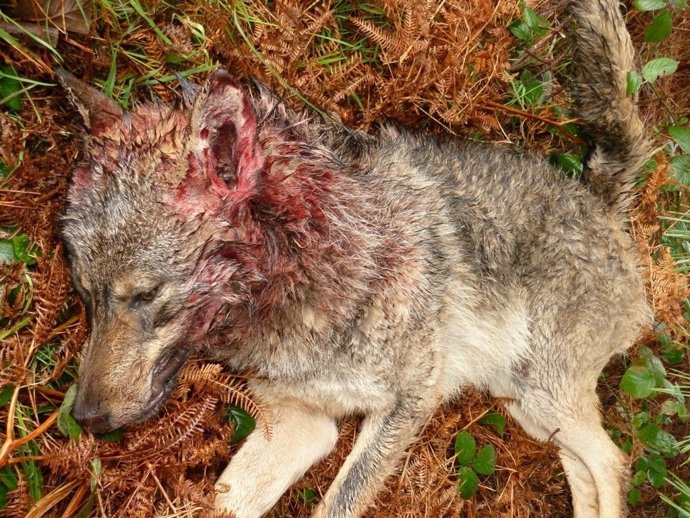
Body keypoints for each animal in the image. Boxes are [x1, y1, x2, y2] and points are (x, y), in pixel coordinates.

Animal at [59, 0, 650, 516]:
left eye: (145, 294)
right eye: (84, 294)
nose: (85, 418)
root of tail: (599, 200)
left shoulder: (409, 403)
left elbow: (336, 504)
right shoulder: (299, 423)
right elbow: (217, 504)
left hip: (542, 396)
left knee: (612, 462)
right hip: (528, 408)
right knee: (590, 470)